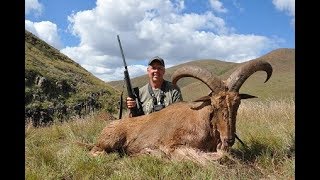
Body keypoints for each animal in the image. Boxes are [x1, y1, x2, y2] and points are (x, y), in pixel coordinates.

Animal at [78, 59, 272, 164]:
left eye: (237, 103)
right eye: (214, 105)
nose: (229, 139)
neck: (201, 122)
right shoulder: (174, 146)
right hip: (109, 141)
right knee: (96, 152)